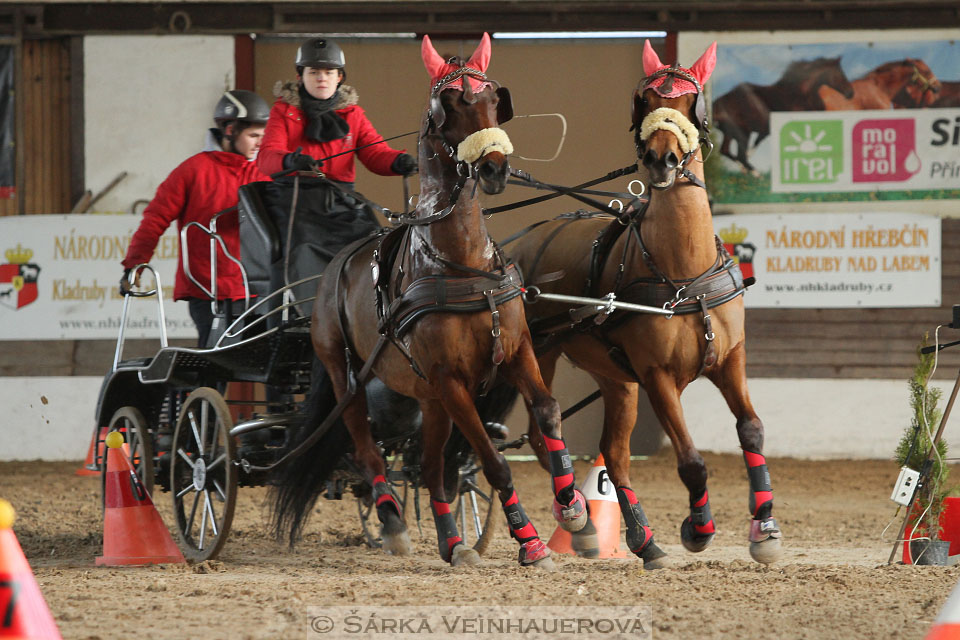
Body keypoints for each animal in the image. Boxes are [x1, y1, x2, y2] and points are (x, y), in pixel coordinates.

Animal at [266, 33, 588, 568]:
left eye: (493, 97)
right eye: (449, 103)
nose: (494, 168)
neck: (463, 263)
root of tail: (335, 265)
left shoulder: (514, 351)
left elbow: (546, 410)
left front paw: (572, 503)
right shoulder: (451, 378)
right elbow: (494, 462)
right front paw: (530, 540)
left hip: (429, 395)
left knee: (432, 464)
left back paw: (452, 543)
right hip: (349, 377)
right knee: (370, 451)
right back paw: (393, 522)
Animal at [488, 42, 780, 568]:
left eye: (693, 102)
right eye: (645, 101)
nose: (662, 159)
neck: (684, 273)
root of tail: (519, 245)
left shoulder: (730, 359)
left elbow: (751, 429)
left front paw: (764, 527)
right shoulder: (658, 376)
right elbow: (691, 460)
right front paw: (698, 529)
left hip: (615, 381)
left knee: (615, 454)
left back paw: (639, 539)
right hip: (538, 354)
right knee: (544, 433)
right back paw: (576, 516)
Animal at [712, 56, 856, 172]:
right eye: (840, 75)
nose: (850, 93)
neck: (800, 94)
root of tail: (717, 103)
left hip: (731, 133)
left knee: (726, 151)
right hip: (742, 132)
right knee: (738, 155)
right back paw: (756, 174)